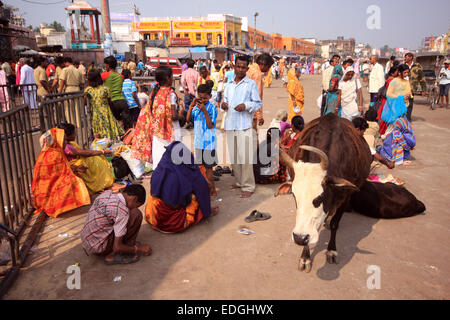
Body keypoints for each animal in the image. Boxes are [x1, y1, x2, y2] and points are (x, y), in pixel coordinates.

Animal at [276, 114, 370, 272]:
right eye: (294, 196)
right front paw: (305, 258)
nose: (299, 238)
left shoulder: (345, 197)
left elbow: (334, 224)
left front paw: (331, 250)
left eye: (320, 197)